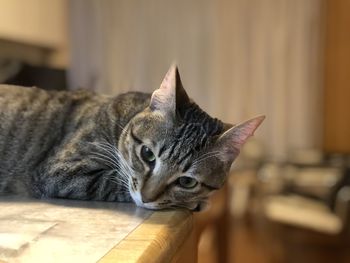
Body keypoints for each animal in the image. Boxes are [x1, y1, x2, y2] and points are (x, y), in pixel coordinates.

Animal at [0, 66, 262, 212]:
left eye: (187, 182)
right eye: (147, 154)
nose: (147, 197)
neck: (120, 120)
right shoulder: (60, 170)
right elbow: (113, 181)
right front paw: (194, 203)